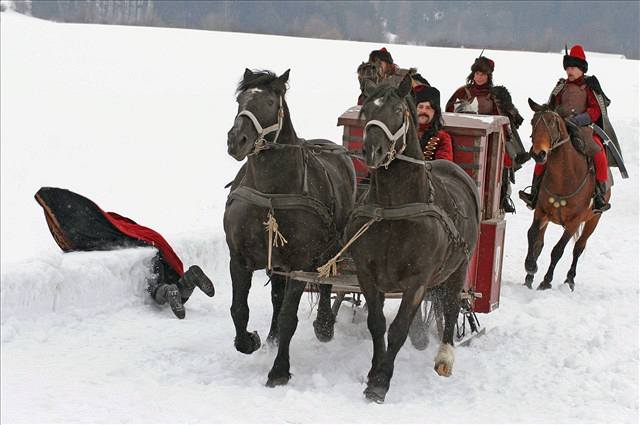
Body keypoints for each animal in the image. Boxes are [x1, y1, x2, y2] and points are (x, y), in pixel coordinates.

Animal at [224, 68, 356, 386]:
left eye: (271, 102)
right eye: (240, 100)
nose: (237, 140)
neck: (272, 192)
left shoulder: (299, 264)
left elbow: (288, 317)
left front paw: (279, 370)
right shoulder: (239, 259)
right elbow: (239, 309)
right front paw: (250, 340)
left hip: (330, 249)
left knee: (326, 284)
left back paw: (324, 326)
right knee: (276, 296)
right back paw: (271, 338)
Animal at [344, 74, 480, 402]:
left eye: (397, 110)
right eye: (366, 110)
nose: (372, 151)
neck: (394, 207)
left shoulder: (417, 279)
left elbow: (398, 328)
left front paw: (381, 382)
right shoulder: (368, 274)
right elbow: (377, 324)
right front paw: (373, 373)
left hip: (458, 268)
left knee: (451, 307)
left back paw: (444, 357)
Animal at [524, 99, 612, 290]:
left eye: (552, 122)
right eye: (533, 122)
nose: (538, 154)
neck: (565, 177)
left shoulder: (574, 222)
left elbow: (558, 250)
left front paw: (546, 281)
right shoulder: (541, 212)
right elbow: (532, 235)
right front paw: (530, 267)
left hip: (594, 219)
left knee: (579, 247)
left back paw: (570, 279)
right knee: (540, 243)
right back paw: (529, 277)